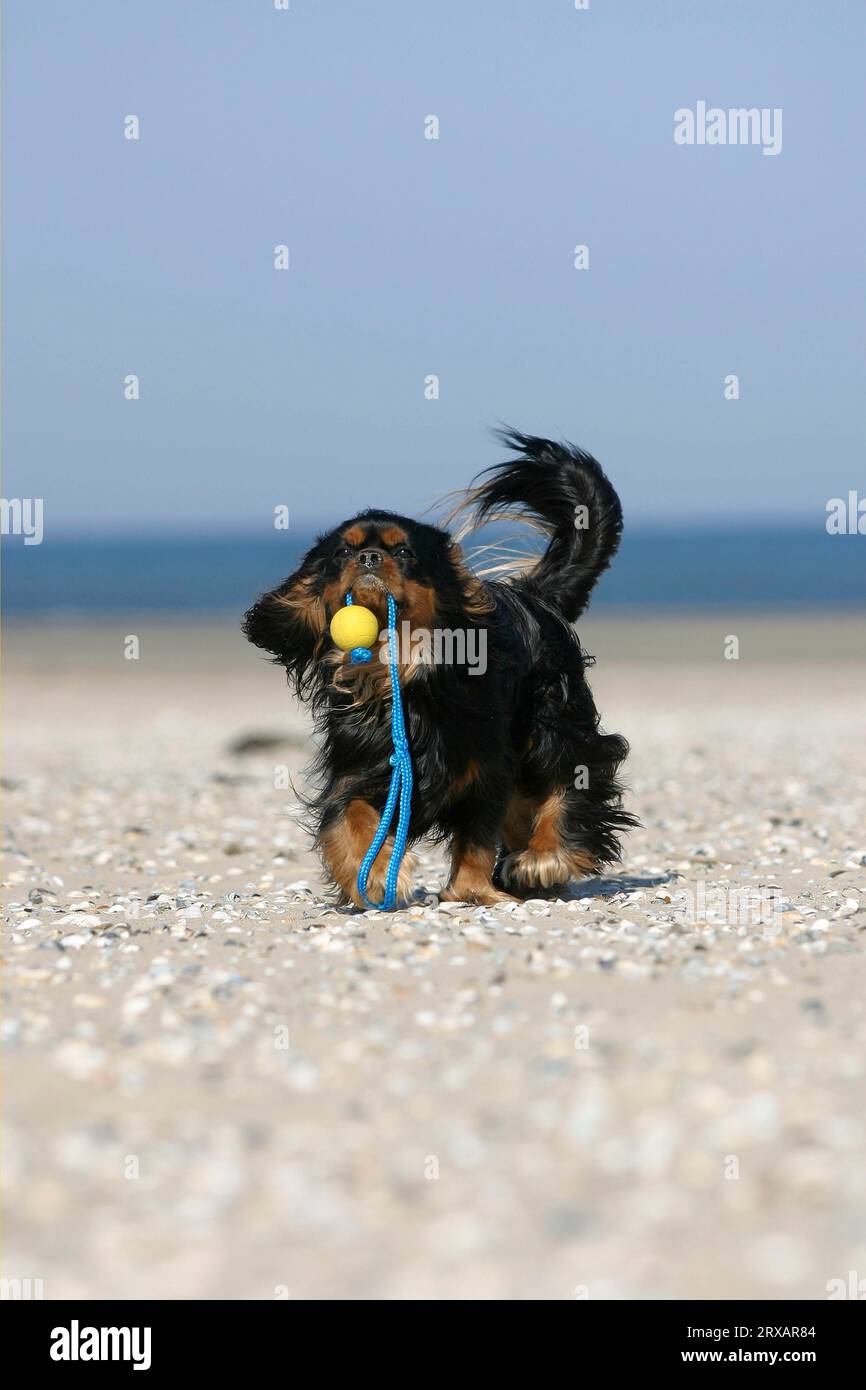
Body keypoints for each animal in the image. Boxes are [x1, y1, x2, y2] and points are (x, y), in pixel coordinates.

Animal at [244, 433, 636, 911]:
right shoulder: (360, 771)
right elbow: (350, 817)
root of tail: (534, 595)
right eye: (342, 553)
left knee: (566, 778)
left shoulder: (486, 768)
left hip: (553, 721)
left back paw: (541, 858)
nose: (368, 557)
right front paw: (376, 874)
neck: (401, 673)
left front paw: (473, 890)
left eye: (404, 552)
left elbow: (479, 835)